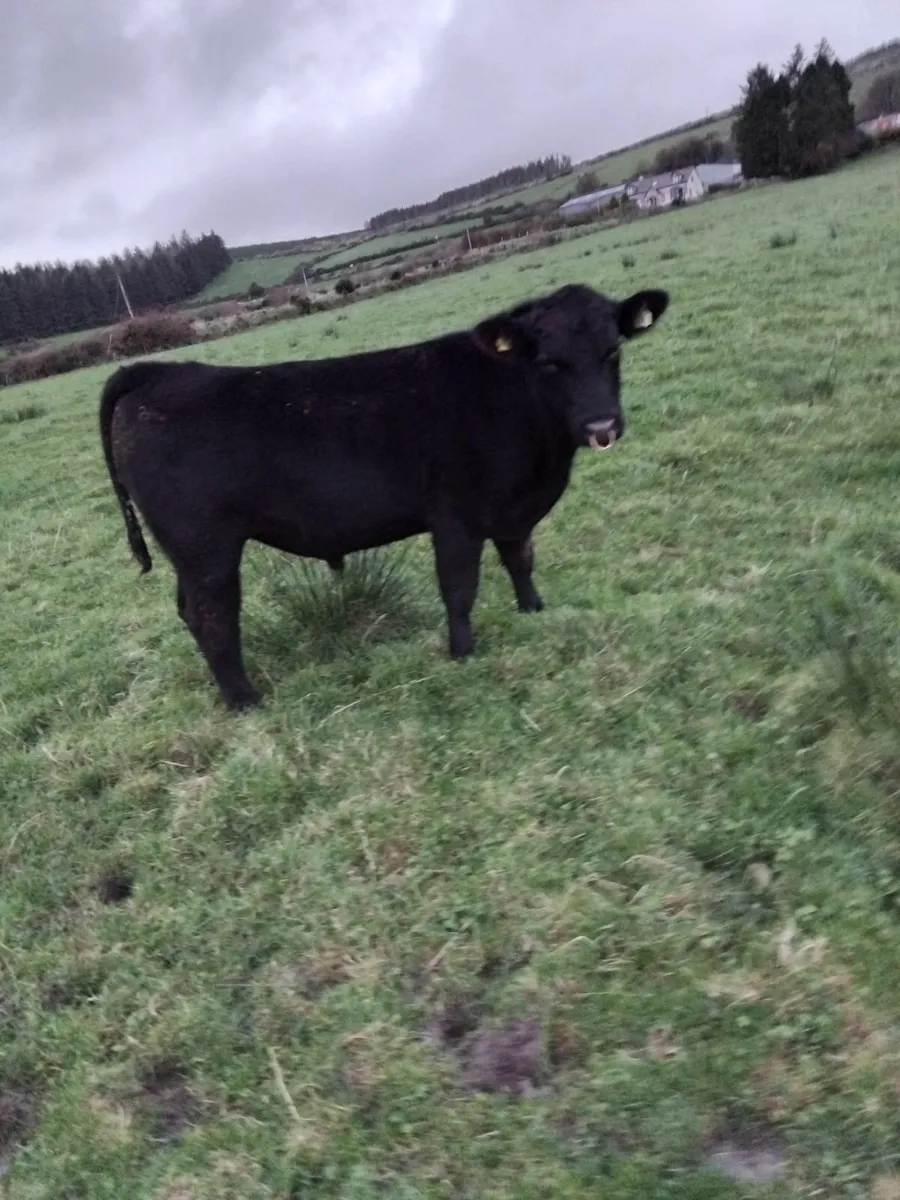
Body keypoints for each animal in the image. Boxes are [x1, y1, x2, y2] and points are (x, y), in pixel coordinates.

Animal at [99, 281, 669, 710]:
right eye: (549, 362)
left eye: (612, 350)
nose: (602, 426)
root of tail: (159, 371)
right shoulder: (455, 516)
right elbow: (459, 588)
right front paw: (463, 652)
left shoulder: (511, 511)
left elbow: (520, 560)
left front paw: (534, 611)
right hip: (207, 549)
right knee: (212, 616)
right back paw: (244, 701)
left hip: (190, 554)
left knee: (188, 611)